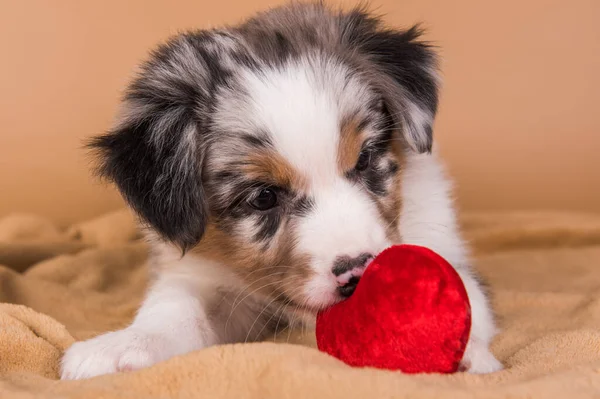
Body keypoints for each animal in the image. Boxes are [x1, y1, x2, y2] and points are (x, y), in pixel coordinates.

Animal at [59, 3, 502, 380]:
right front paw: (122, 345)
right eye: (264, 197)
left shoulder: (442, 246)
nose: (358, 273)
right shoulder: (203, 275)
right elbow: (174, 307)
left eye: (364, 160)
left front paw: (461, 349)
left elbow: (464, 295)